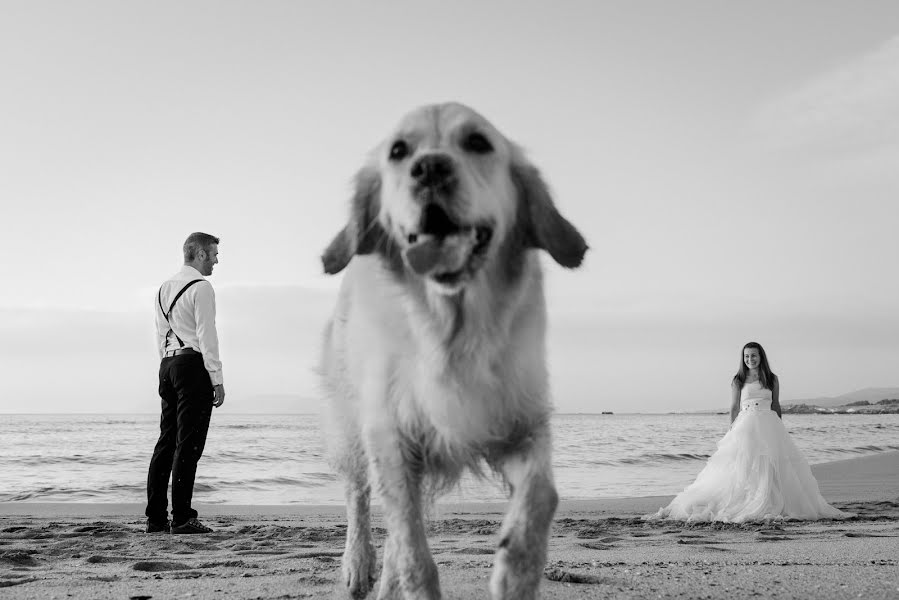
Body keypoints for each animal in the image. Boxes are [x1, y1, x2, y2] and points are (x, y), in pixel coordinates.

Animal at [320, 103, 588, 600]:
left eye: (478, 142)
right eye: (399, 151)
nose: (429, 168)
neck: (452, 331)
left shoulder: (518, 420)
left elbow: (543, 494)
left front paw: (516, 572)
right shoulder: (389, 436)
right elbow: (412, 551)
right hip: (349, 423)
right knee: (359, 499)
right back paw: (358, 566)